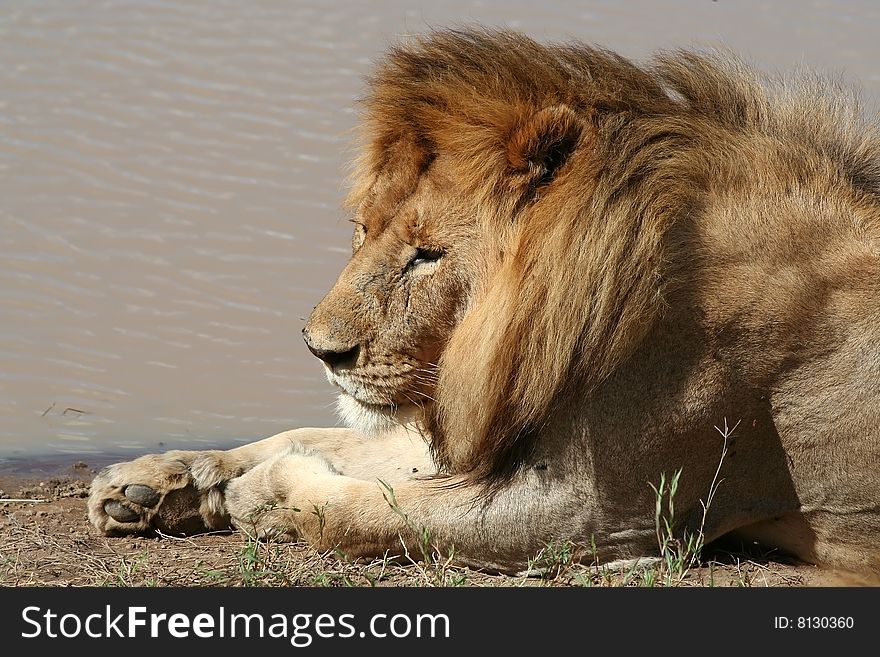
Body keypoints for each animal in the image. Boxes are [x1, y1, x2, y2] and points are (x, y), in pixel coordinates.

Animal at [87, 28, 880, 576]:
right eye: (362, 229)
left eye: (427, 255)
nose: (322, 351)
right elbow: (317, 438)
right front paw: (154, 480)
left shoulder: (595, 511)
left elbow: (363, 508)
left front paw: (264, 493)